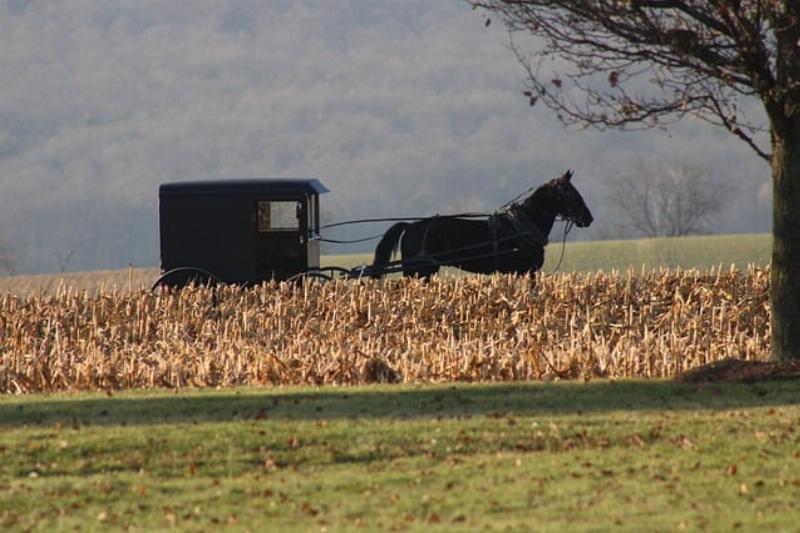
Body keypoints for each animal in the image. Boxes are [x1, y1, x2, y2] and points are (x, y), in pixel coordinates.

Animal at [372, 170, 592, 278]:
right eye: (572, 193)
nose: (588, 218)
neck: (522, 227)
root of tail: (410, 226)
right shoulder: (527, 271)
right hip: (418, 270)